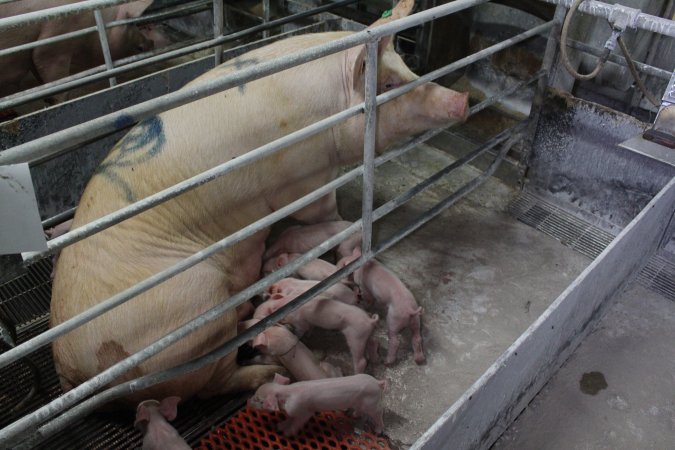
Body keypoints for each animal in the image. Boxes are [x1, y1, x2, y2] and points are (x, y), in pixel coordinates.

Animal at [50, 0, 468, 408]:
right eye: (388, 84)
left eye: (408, 67)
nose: (461, 101)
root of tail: (72, 370)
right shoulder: (304, 175)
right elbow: (322, 211)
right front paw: (343, 228)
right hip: (194, 317)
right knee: (211, 384)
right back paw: (268, 372)